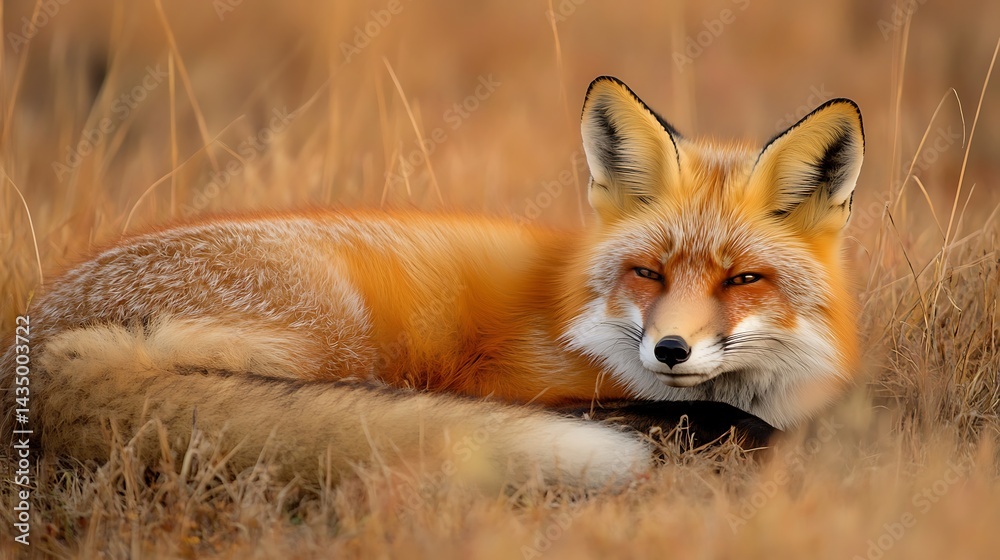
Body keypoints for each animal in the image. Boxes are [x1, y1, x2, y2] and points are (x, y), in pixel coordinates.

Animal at [1, 76, 863, 488]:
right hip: (334, 336)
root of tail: (36, 342)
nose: (672, 351)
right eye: (648, 272)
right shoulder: (524, 378)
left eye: (743, 278)